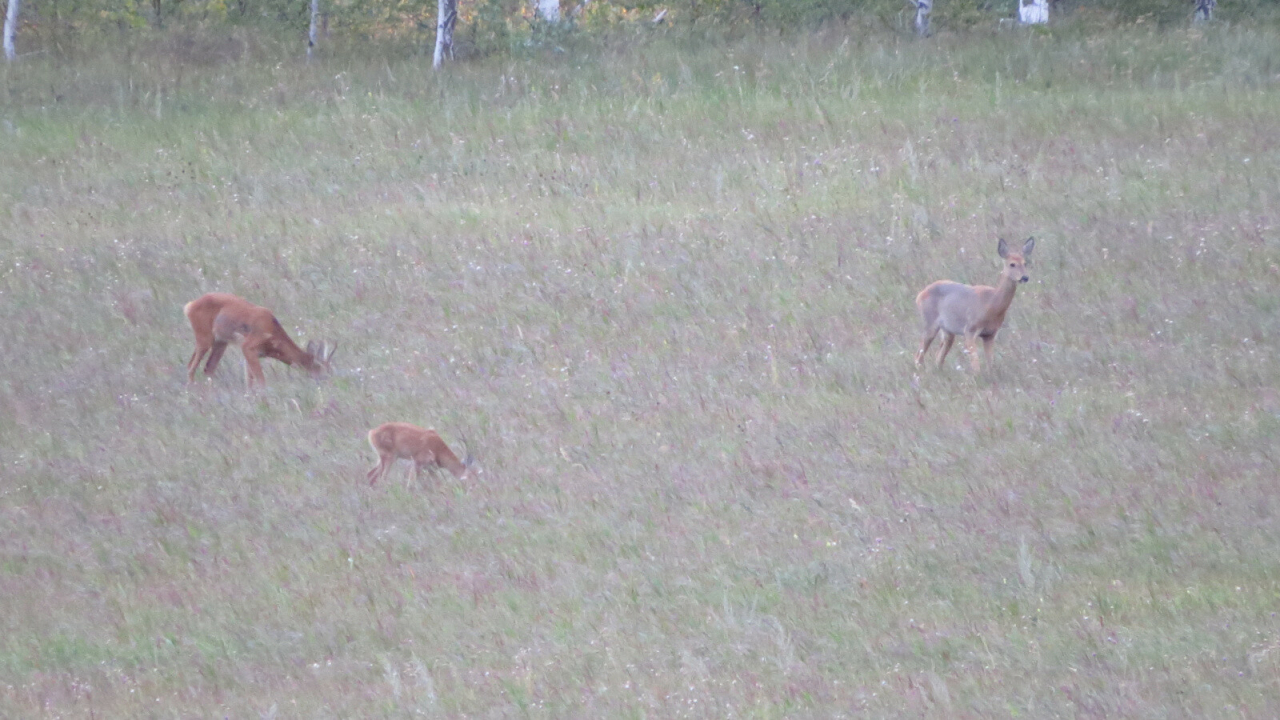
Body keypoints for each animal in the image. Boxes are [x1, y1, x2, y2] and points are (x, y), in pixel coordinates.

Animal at [186, 292, 335, 386]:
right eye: (322, 369)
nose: (330, 382)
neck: (273, 331)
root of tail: (190, 305)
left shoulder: (253, 354)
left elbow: (250, 383)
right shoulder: (248, 347)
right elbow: (261, 381)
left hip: (220, 342)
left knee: (207, 368)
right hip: (204, 338)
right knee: (191, 368)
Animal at [916, 235, 1034, 368]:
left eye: (1025, 263)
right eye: (1012, 264)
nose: (1025, 277)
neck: (991, 303)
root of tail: (920, 295)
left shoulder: (990, 334)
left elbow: (990, 364)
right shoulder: (970, 330)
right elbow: (976, 366)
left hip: (947, 331)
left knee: (938, 358)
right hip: (929, 323)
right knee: (919, 356)